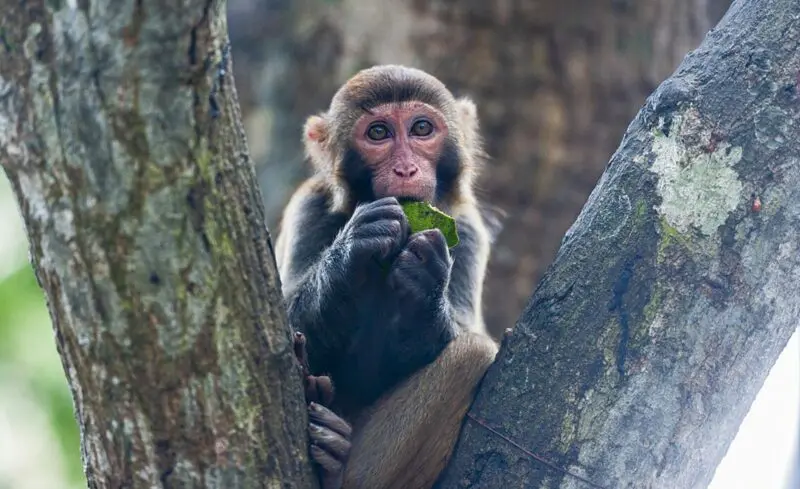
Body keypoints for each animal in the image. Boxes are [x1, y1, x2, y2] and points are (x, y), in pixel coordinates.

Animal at [274, 64, 502, 489]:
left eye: (421, 128)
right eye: (378, 133)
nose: (406, 169)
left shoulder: (467, 228)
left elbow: (458, 334)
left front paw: (427, 280)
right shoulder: (308, 207)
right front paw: (352, 248)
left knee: (473, 353)